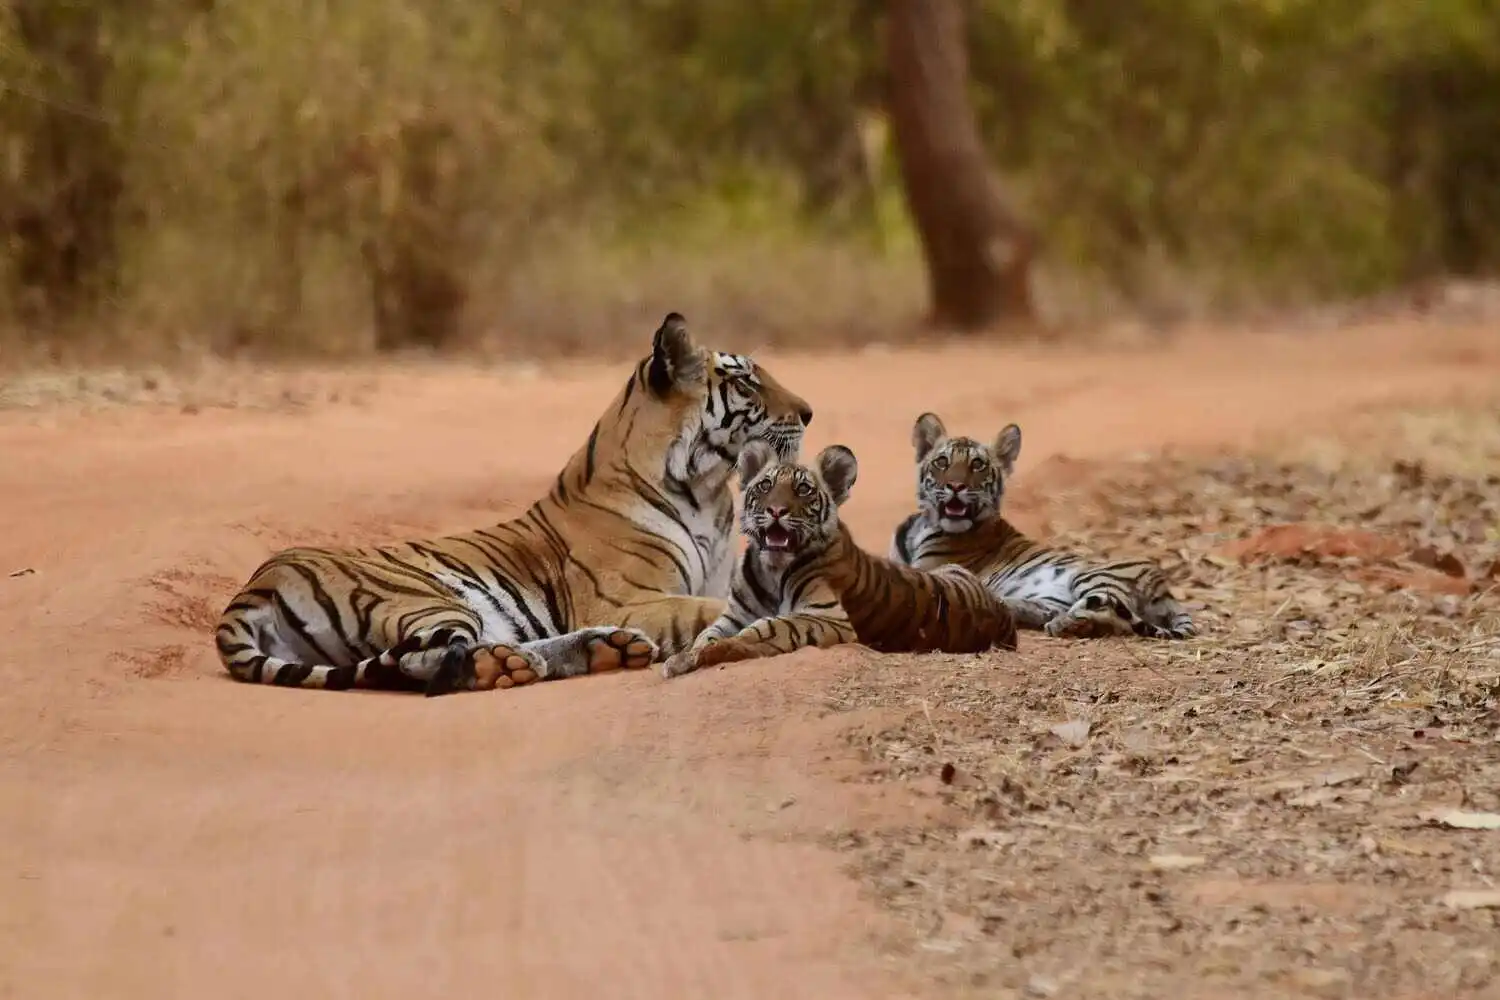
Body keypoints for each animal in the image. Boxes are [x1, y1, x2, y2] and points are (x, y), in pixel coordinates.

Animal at [211, 313, 810, 695]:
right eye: (747, 383)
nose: (808, 412)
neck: (707, 490)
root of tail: (254, 585)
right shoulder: (629, 599)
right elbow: (709, 610)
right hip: (425, 598)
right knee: (424, 661)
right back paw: (513, 665)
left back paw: (603, 651)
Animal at [663, 437, 1014, 680]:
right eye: (765, 485)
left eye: (803, 490)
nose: (776, 510)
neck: (771, 570)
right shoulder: (733, 615)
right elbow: (706, 634)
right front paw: (684, 658)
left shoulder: (829, 617)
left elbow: (768, 626)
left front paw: (717, 651)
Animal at [888, 413, 1194, 641]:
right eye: (942, 462)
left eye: (977, 464)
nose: (955, 485)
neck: (923, 525)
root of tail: (1164, 586)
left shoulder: (929, 570)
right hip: (1052, 598)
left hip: (1094, 577)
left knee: (1111, 614)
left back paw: (1065, 624)